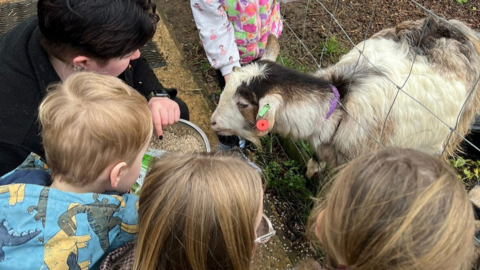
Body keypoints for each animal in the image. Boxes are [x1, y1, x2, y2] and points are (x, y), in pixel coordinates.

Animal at [210, 17, 480, 178]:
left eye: (243, 103)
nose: (212, 122)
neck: (342, 105)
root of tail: (458, 28)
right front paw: (311, 172)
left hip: (452, 134)